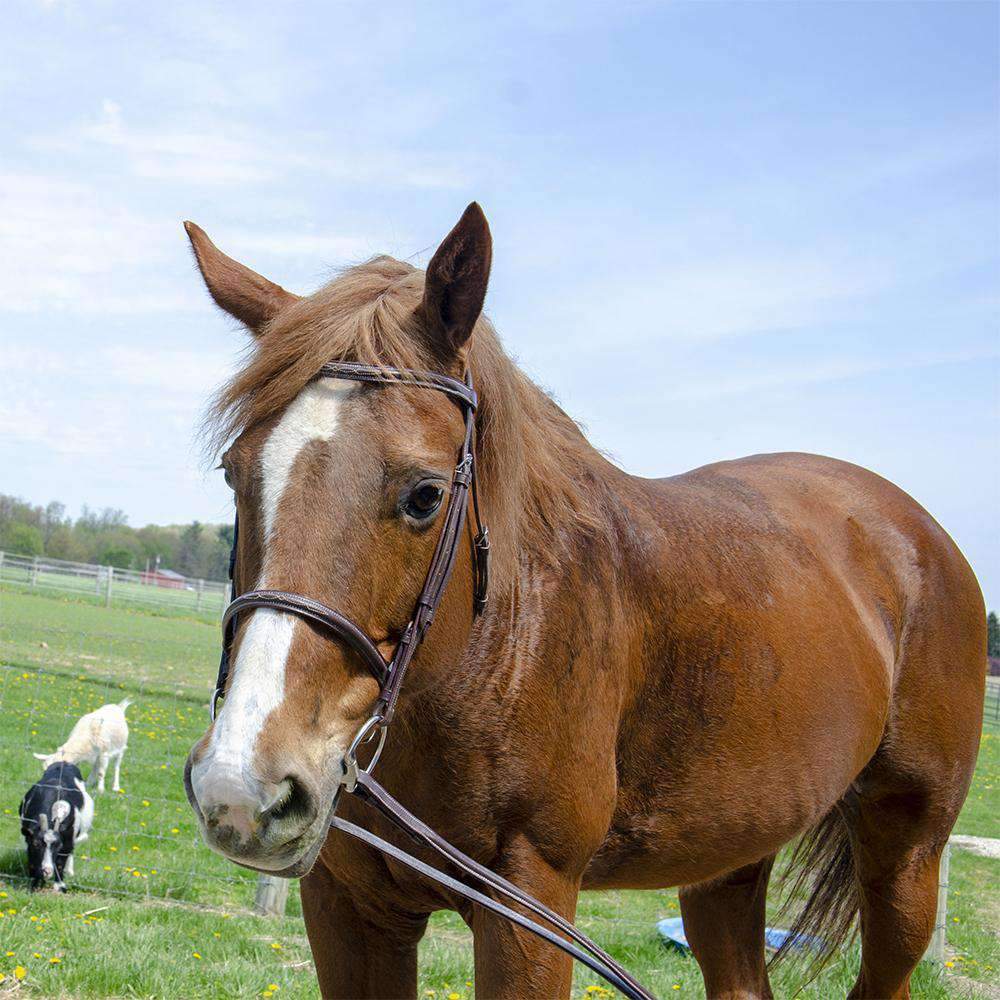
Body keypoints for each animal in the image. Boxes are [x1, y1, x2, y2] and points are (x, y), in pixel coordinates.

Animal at [20, 760, 94, 896]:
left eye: (58, 845)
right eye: (36, 844)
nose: (47, 871)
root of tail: (64, 762)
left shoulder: (67, 840)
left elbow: (60, 862)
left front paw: (60, 886)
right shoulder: (29, 838)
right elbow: (32, 861)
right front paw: (34, 884)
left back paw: (69, 871)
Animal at [182, 205, 984, 1000]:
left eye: (425, 495)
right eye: (234, 473)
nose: (242, 784)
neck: (491, 650)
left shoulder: (529, 907)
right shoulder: (349, 903)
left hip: (907, 854)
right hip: (730, 859)